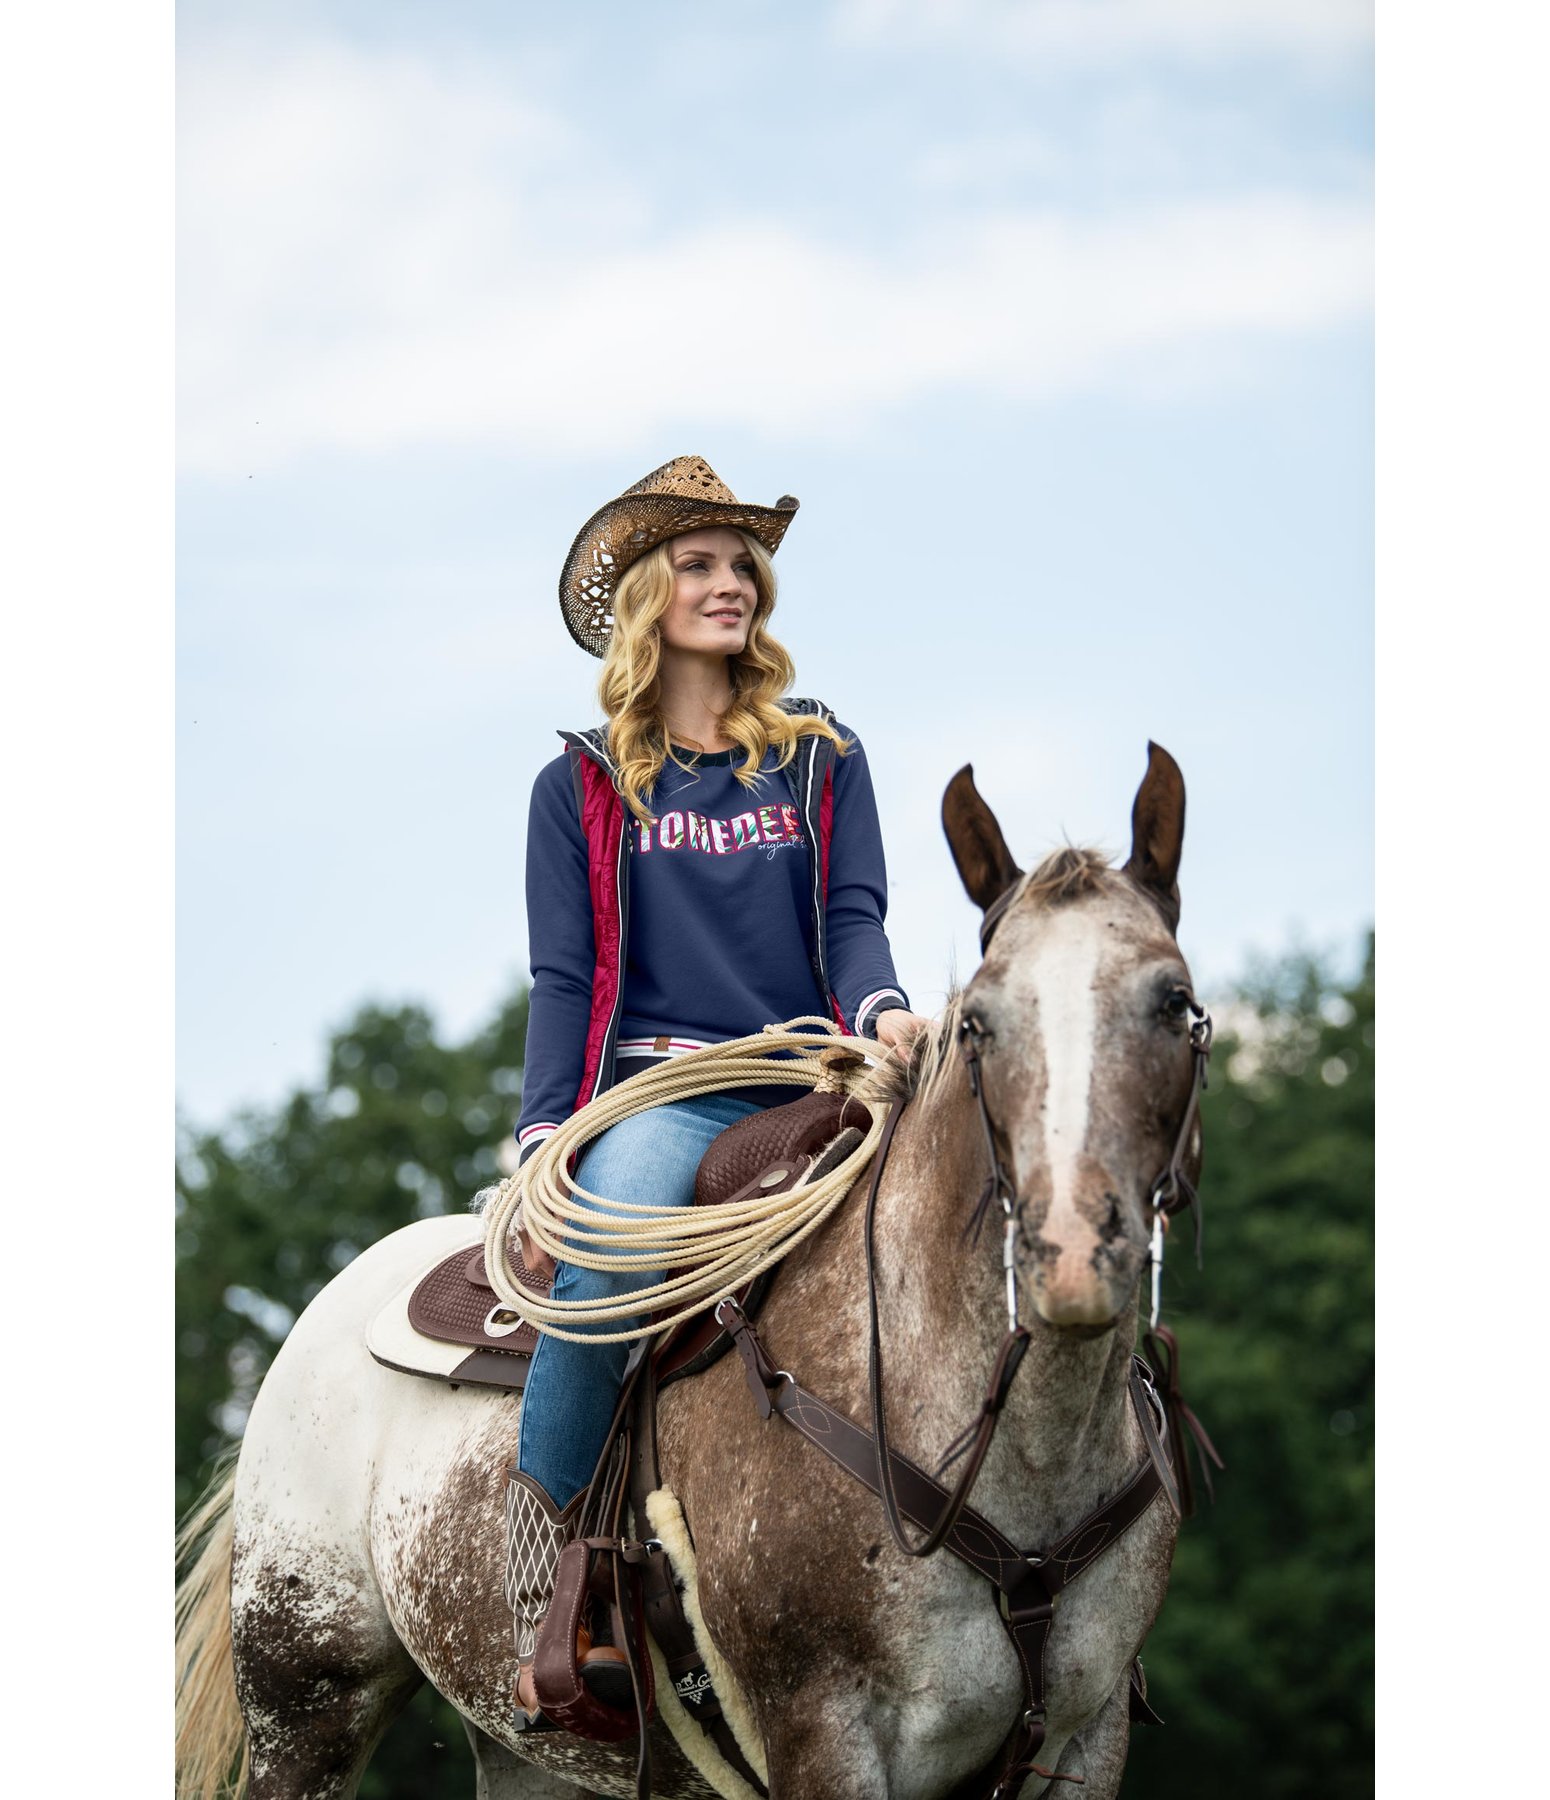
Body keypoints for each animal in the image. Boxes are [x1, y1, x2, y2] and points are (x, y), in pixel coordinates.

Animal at [178, 745, 1195, 1800]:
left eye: (1177, 1002)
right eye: (981, 1025)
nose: (1072, 1254)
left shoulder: (1085, 1738)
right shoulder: (823, 1730)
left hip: (523, 1745)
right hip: (306, 1699)